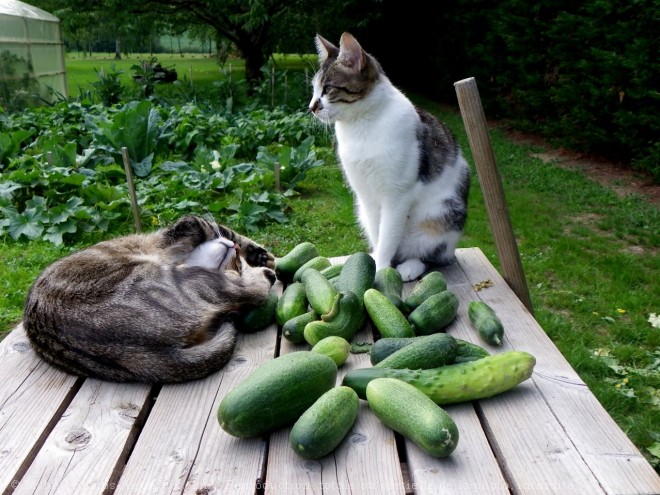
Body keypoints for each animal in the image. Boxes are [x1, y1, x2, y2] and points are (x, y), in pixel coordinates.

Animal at [23, 216, 276, 384]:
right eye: (236, 263)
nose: (235, 250)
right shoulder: (168, 236)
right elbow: (204, 223)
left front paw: (257, 254)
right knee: (250, 291)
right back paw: (264, 276)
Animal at [310, 33, 470, 282]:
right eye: (314, 89)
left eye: (327, 88)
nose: (311, 107)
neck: (361, 125)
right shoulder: (365, 195)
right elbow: (379, 235)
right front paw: (375, 262)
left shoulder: (397, 195)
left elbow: (388, 237)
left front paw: (382, 267)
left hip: (442, 215)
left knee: (432, 255)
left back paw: (410, 266)